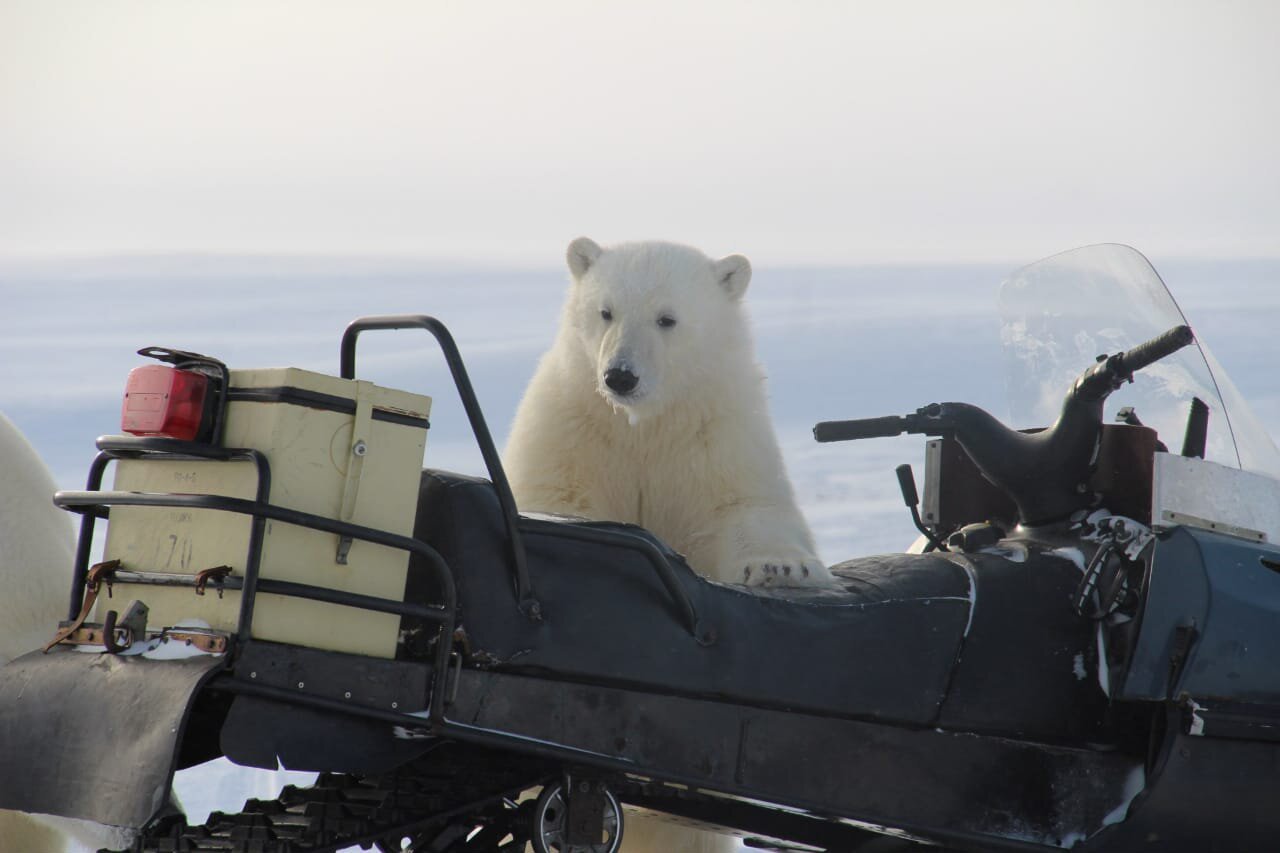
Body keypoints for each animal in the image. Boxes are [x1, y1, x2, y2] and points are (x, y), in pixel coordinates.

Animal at [504, 235, 834, 584]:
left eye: (666, 319)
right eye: (606, 312)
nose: (620, 376)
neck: (643, 423)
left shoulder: (717, 431)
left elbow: (743, 503)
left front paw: (781, 566)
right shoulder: (571, 428)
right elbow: (556, 497)